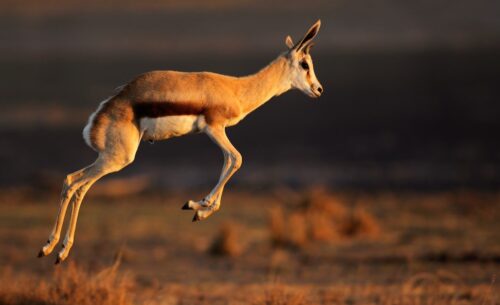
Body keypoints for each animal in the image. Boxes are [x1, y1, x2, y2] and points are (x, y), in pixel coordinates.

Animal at [37, 19, 322, 262]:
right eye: (305, 64)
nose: (318, 89)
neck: (236, 89)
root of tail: (100, 114)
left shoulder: (216, 132)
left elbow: (228, 162)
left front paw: (198, 209)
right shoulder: (214, 128)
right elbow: (236, 159)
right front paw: (199, 205)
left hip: (108, 158)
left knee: (73, 182)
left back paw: (52, 248)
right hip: (117, 159)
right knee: (77, 185)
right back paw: (56, 249)